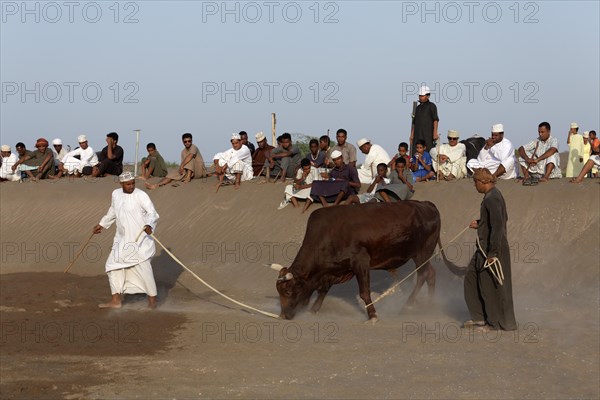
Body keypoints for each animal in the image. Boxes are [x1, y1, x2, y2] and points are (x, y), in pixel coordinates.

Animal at [270, 200, 464, 322]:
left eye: (288, 291)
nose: (284, 315)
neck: (328, 234)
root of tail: (426, 204)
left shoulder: (360, 262)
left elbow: (364, 292)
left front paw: (372, 315)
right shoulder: (334, 270)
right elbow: (323, 290)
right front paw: (313, 310)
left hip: (422, 253)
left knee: (423, 275)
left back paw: (407, 306)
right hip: (423, 255)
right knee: (431, 274)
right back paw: (430, 304)